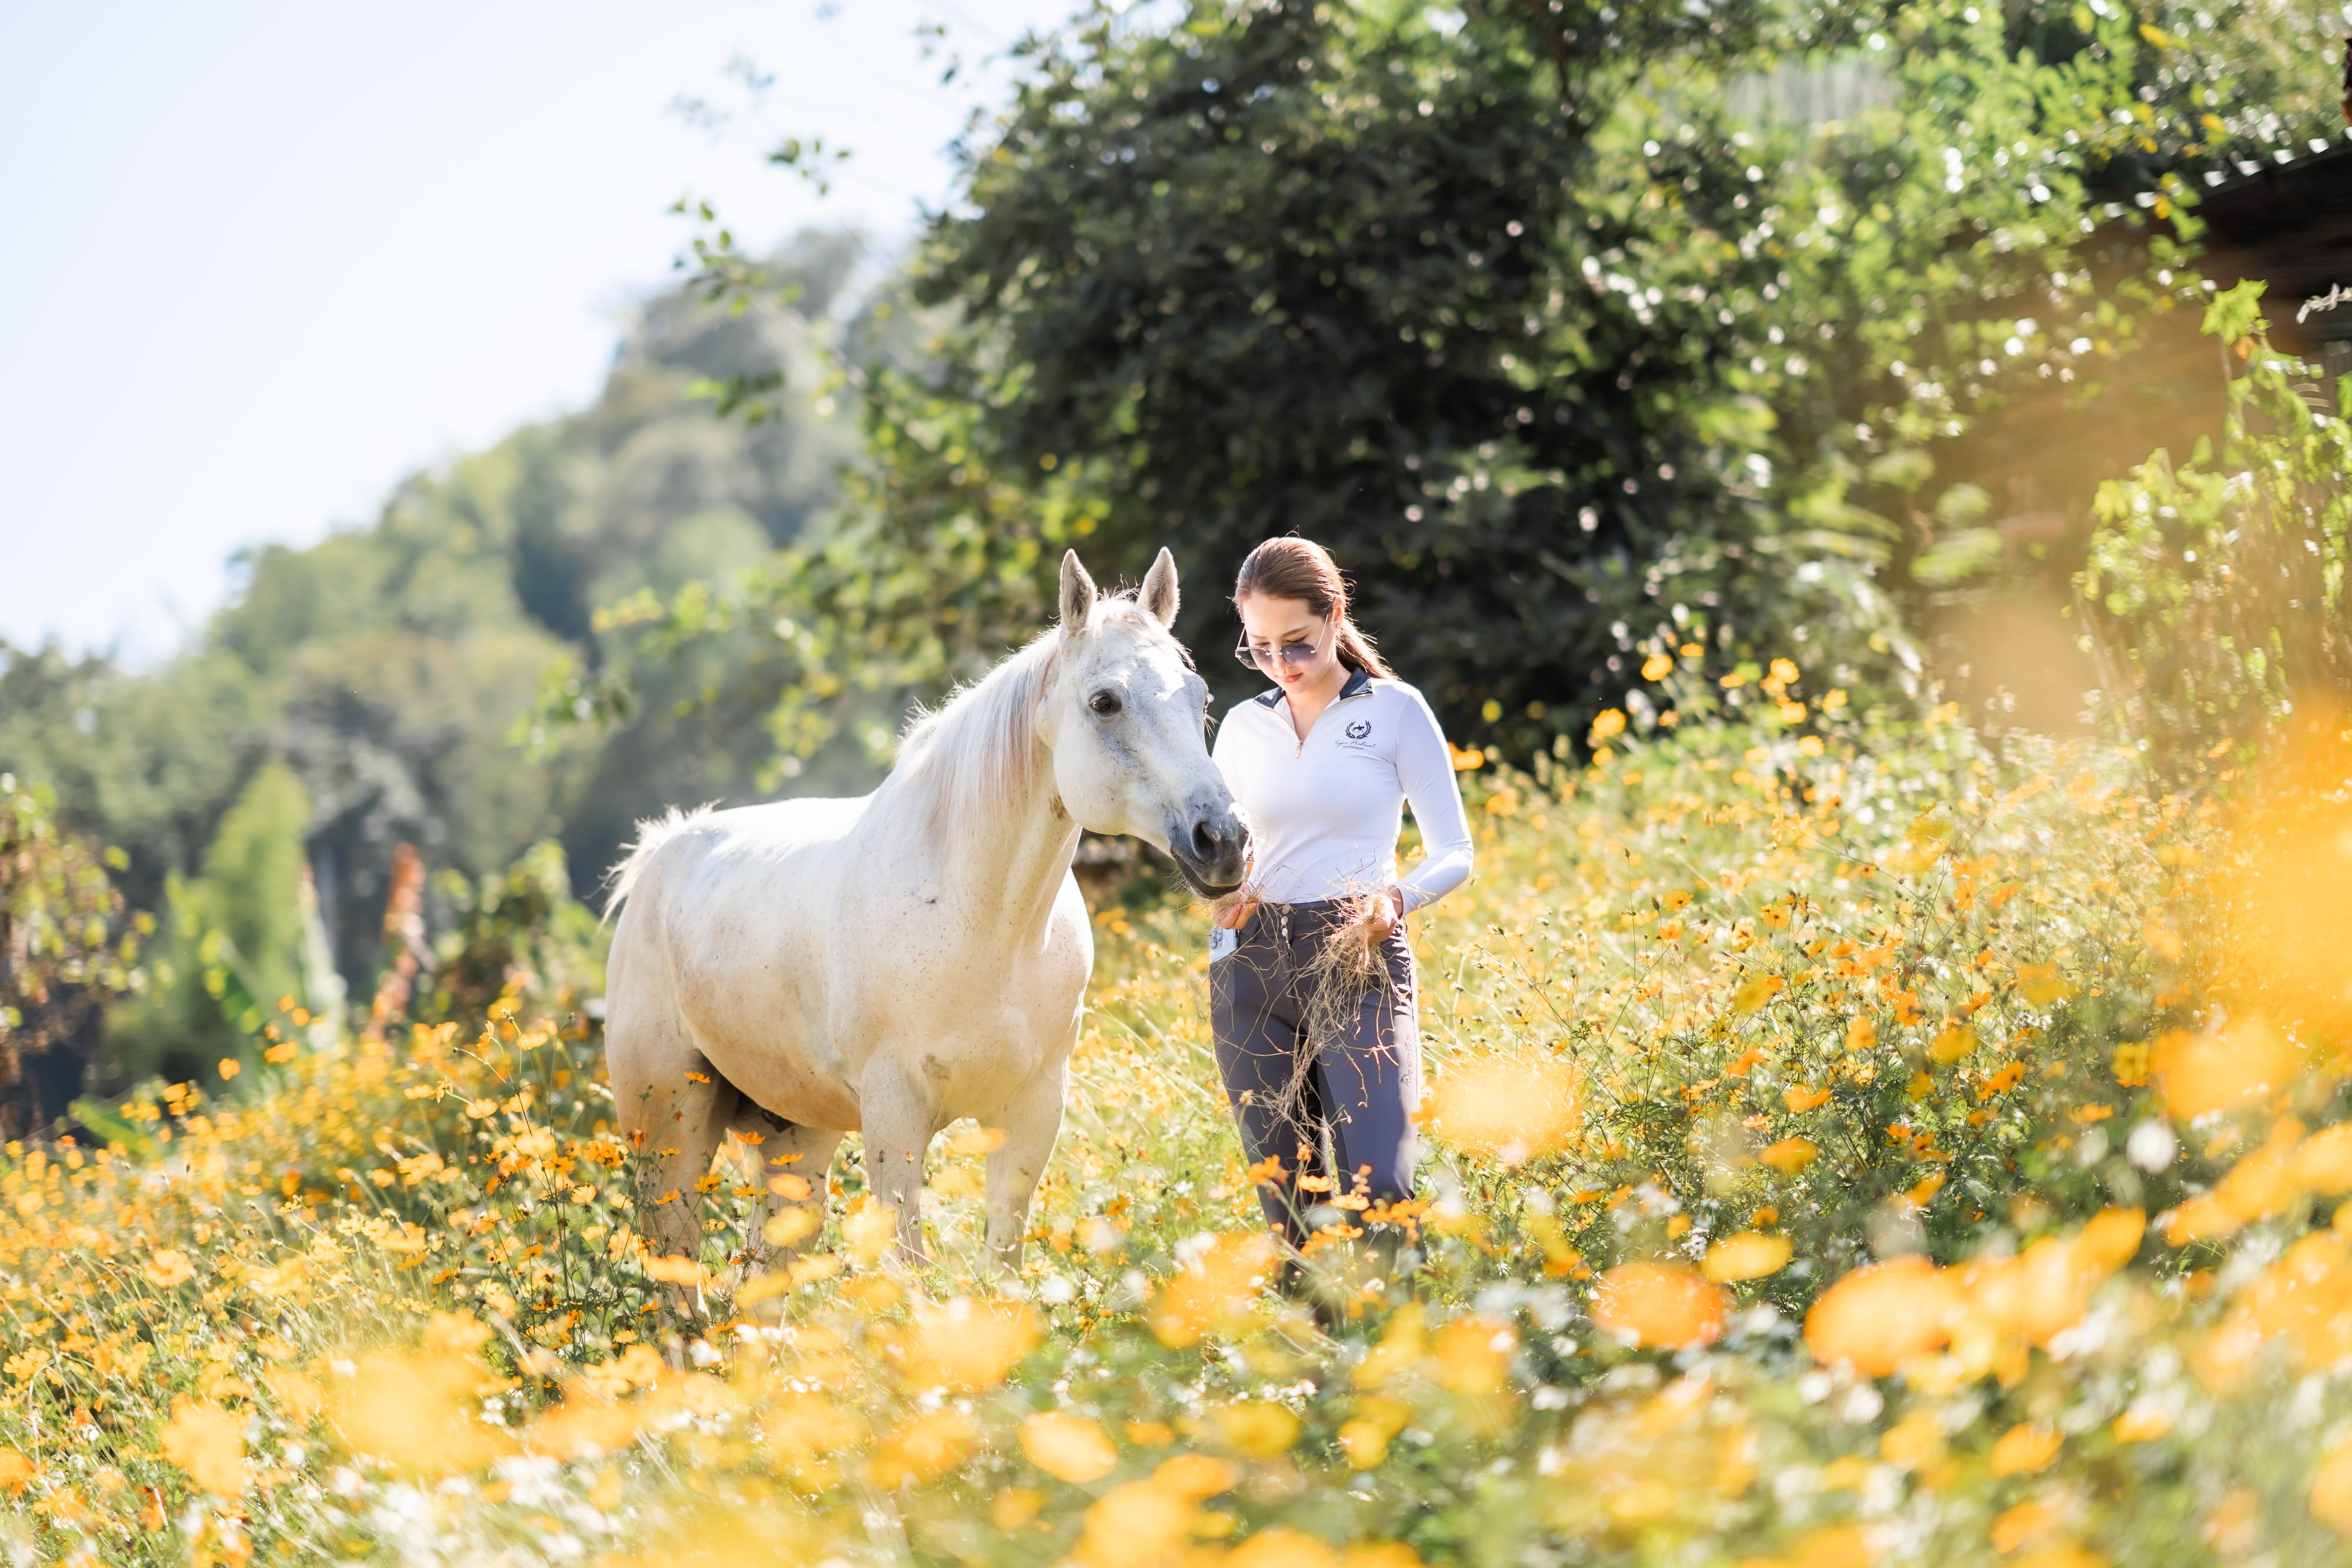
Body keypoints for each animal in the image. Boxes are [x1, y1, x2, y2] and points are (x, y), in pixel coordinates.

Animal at [602, 548, 1247, 1303]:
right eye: (1105, 702)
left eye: (1199, 698)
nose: (1224, 842)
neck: (984, 925)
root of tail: (660, 854)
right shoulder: (895, 1114)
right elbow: (908, 1271)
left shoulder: (1032, 1110)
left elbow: (1002, 1265)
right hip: (670, 1132)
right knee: (676, 1283)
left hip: (795, 1142)